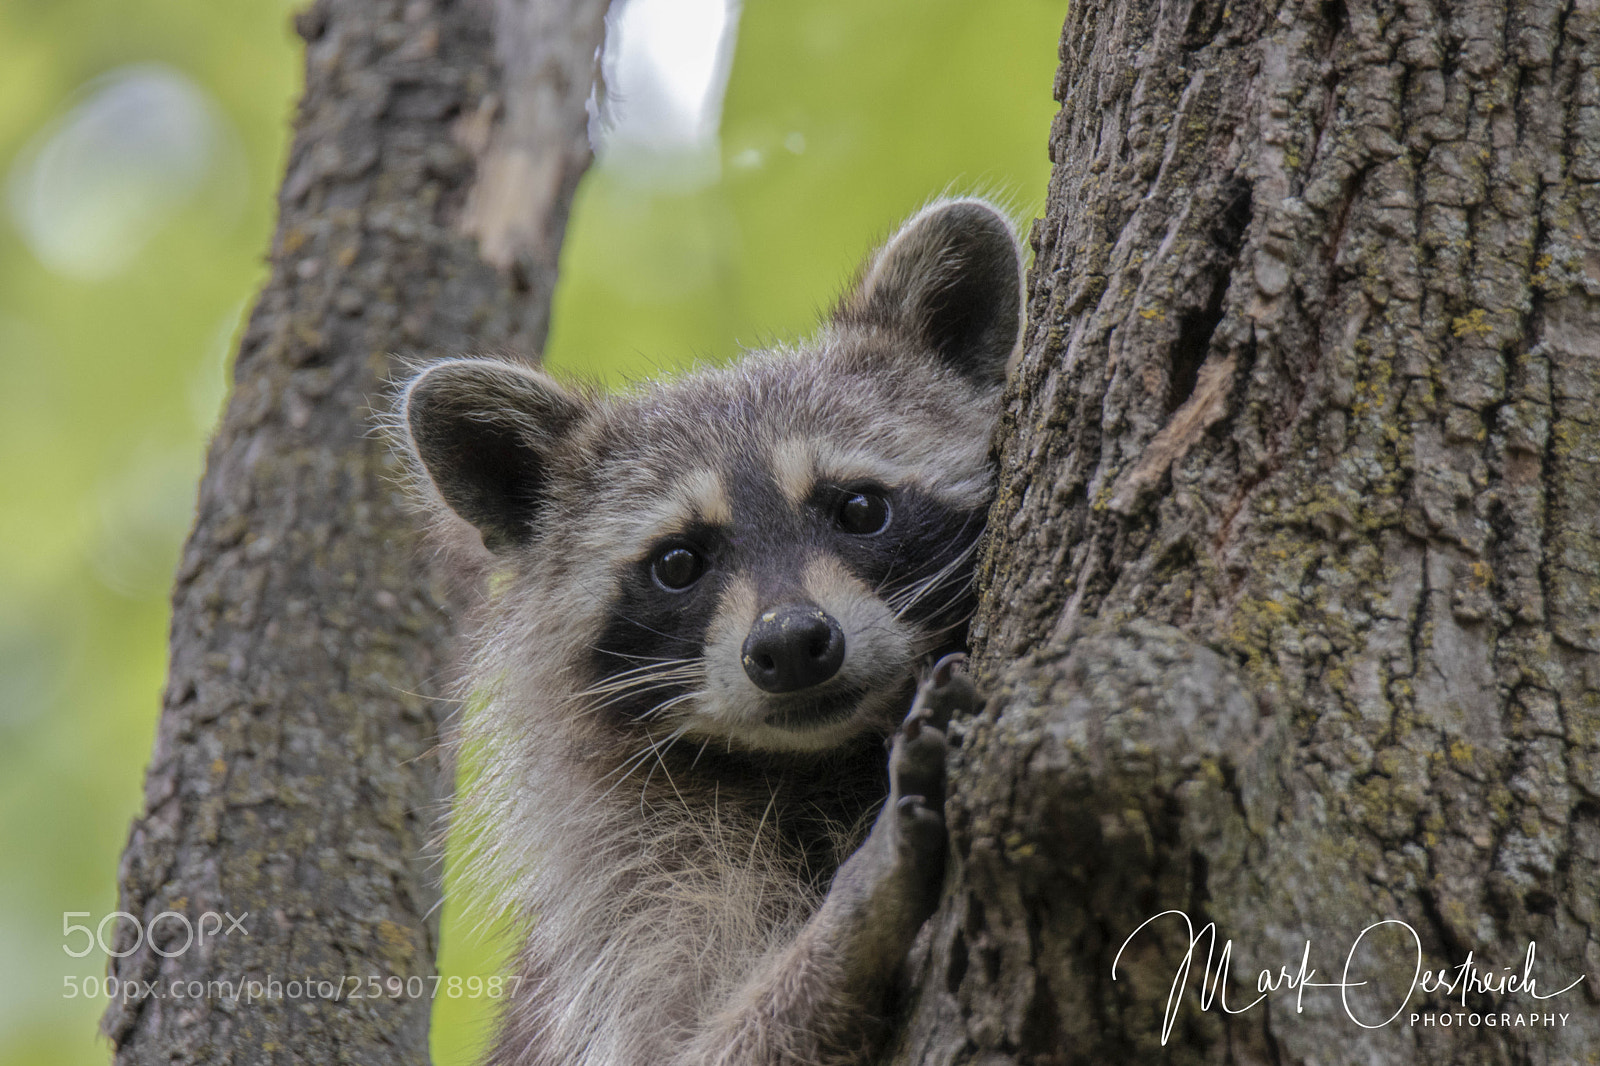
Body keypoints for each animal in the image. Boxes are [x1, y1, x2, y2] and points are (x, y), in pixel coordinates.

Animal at [398, 199, 1023, 1066]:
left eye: (861, 509)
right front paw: (852, 921)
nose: (790, 643)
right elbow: (694, 1042)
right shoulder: (635, 899)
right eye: (679, 563)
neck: (817, 760)